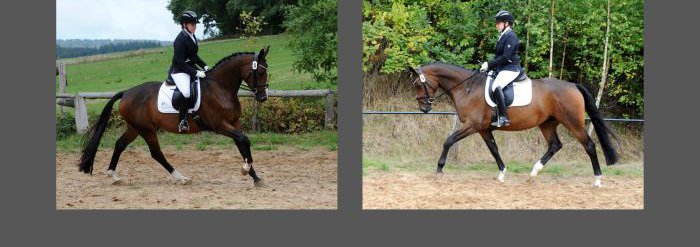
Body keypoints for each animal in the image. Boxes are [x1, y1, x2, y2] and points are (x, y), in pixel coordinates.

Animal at [78, 46, 270, 186]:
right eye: (260, 72)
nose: (263, 97)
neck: (219, 87)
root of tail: (126, 93)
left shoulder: (234, 123)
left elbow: (242, 145)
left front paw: (255, 177)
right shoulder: (220, 125)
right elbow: (244, 140)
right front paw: (246, 169)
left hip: (135, 127)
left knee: (119, 145)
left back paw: (113, 175)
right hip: (146, 129)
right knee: (156, 153)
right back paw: (181, 177)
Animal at [408, 63, 620, 187]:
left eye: (418, 85)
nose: (424, 108)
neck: (467, 88)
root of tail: (573, 86)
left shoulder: (472, 125)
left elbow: (448, 141)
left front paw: (439, 170)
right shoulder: (483, 129)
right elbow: (494, 149)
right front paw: (502, 174)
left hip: (572, 122)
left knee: (589, 145)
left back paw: (597, 180)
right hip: (547, 124)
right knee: (555, 145)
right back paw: (533, 174)